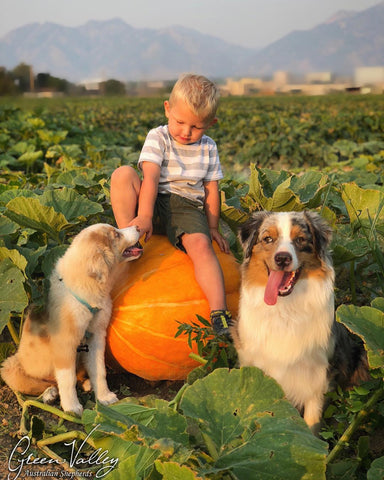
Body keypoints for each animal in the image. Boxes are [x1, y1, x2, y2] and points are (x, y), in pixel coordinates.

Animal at [234, 212, 368, 434]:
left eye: (300, 240)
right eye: (268, 239)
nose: (282, 258)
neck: (285, 309)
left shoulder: (317, 377)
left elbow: (310, 425)